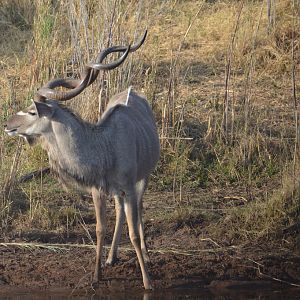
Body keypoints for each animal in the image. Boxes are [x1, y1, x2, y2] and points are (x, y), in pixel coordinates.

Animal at [4, 31, 159, 290]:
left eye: (33, 111)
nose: (7, 125)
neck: (105, 147)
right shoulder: (99, 190)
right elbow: (100, 228)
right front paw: (97, 275)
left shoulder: (128, 186)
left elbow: (134, 233)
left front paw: (147, 282)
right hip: (118, 192)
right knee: (119, 211)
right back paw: (111, 257)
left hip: (142, 179)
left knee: (139, 209)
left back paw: (146, 256)